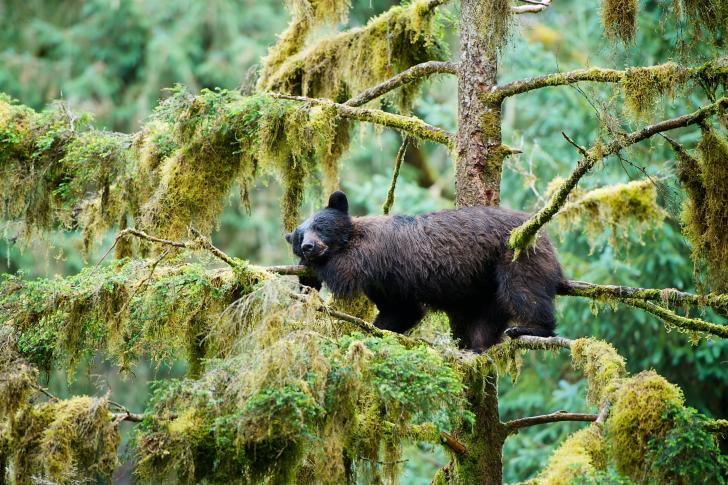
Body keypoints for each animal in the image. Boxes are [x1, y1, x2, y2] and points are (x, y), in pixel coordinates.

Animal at [288, 190, 564, 352]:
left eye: (320, 226)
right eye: (300, 236)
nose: (308, 246)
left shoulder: (375, 252)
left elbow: (345, 270)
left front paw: (311, 268)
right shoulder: (385, 284)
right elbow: (401, 311)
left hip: (516, 254)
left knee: (524, 290)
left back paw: (531, 328)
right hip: (485, 282)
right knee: (488, 317)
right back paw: (478, 346)